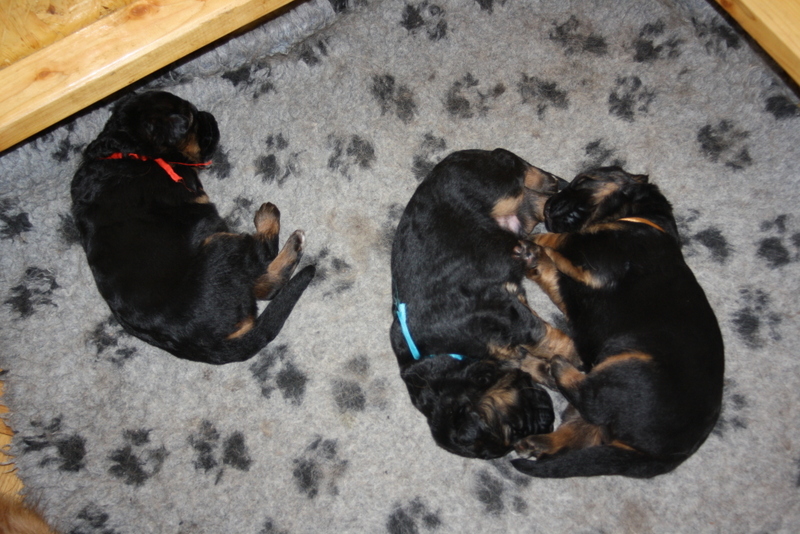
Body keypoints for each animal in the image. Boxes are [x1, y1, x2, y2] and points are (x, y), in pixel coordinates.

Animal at [71, 91, 315, 364]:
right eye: (190, 120)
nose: (208, 116)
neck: (132, 151)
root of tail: (206, 344)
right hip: (219, 246)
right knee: (264, 269)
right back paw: (277, 225)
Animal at [390, 148, 574, 459]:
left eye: (514, 428)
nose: (547, 422)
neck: (444, 354)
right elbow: (527, 359)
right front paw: (548, 371)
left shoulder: (509, 317)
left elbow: (549, 340)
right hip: (522, 213)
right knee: (539, 201)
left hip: (493, 186)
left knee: (519, 169)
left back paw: (549, 180)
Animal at [511, 166, 724, 477]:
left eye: (583, 181)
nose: (548, 206)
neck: (642, 217)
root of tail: (665, 457)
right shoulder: (573, 291)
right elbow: (552, 269)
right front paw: (531, 256)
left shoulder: (593, 255)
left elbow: (560, 239)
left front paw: (531, 244)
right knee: (585, 430)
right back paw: (540, 438)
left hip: (633, 365)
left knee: (591, 401)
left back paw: (556, 367)